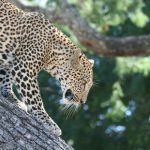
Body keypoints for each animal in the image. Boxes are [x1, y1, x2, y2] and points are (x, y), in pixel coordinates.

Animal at [0, 0, 94, 136]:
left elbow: (5, 78)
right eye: (83, 82)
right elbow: (35, 99)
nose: (83, 102)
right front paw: (48, 122)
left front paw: (11, 97)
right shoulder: (25, 69)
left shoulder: (10, 61)